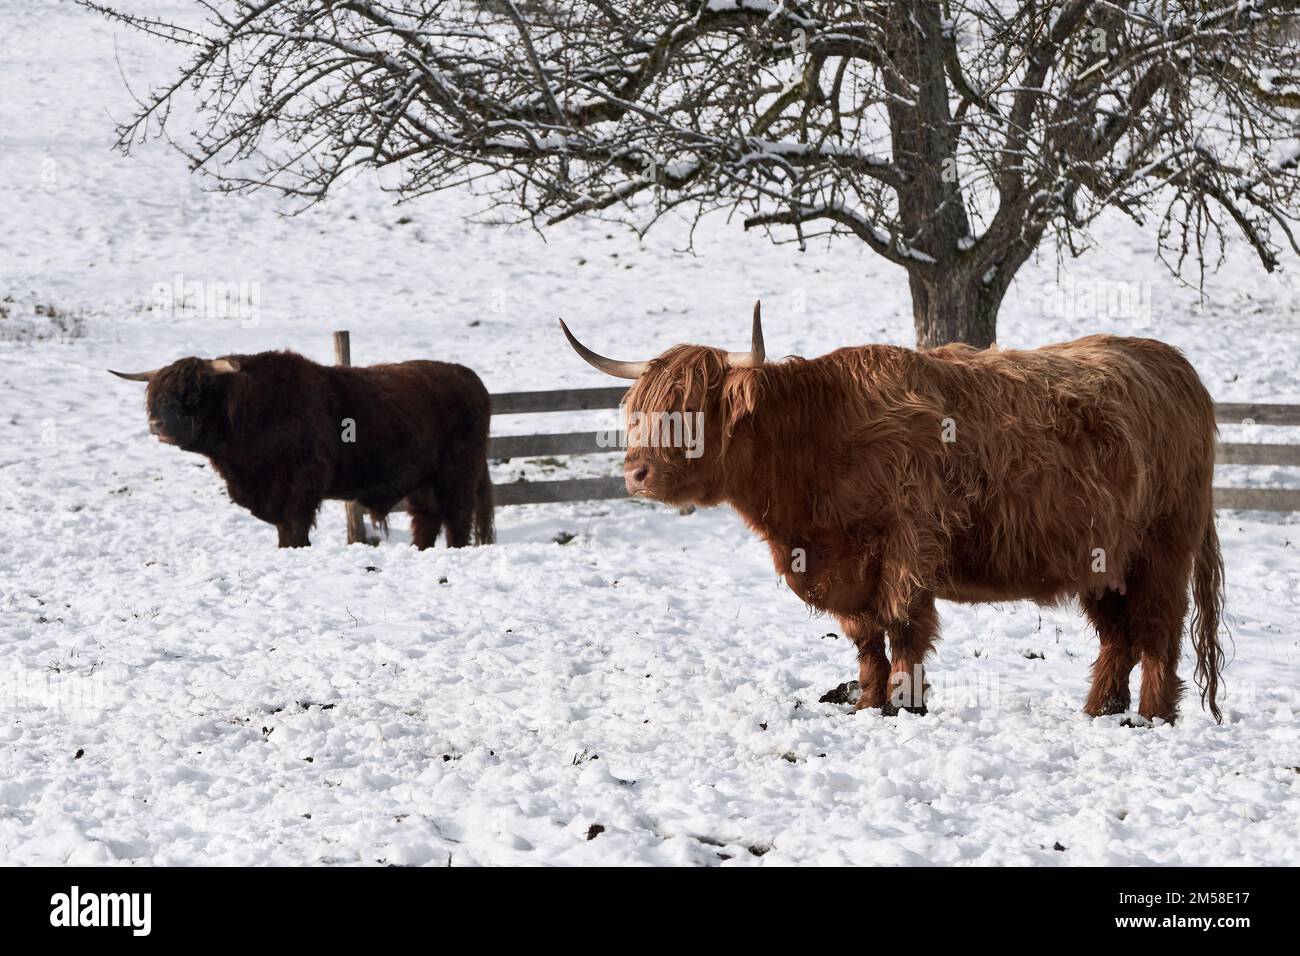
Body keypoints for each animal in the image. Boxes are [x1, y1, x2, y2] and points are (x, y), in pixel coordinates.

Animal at [110, 348, 491, 546]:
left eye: (193, 393)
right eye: (156, 395)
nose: (156, 425)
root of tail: (468, 376)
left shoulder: (301, 486)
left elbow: (294, 528)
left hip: (456, 473)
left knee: (457, 517)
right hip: (423, 481)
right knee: (427, 518)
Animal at [564, 306, 1222, 723]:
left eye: (692, 409)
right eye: (639, 411)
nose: (636, 473)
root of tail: (1172, 363)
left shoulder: (909, 543)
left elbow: (903, 626)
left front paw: (906, 707)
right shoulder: (845, 566)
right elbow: (864, 639)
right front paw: (867, 704)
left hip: (1164, 546)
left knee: (1158, 631)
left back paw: (1151, 717)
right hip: (1104, 560)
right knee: (1119, 637)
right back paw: (1098, 712)